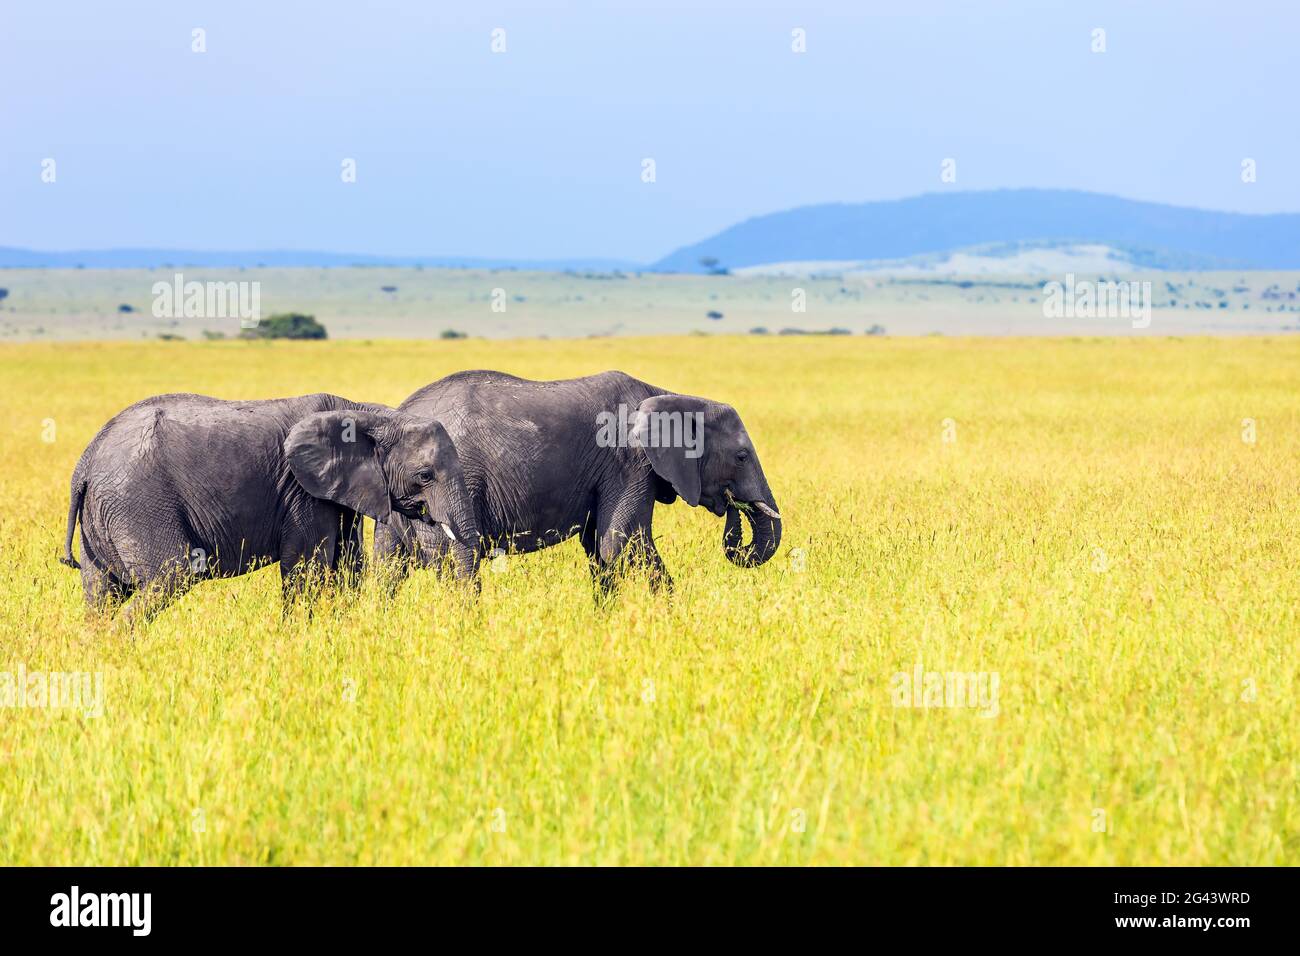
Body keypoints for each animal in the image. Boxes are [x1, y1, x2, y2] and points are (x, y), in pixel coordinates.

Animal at [61, 390, 478, 629]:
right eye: (425, 475)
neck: (371, 415)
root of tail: (85, 462)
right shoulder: (302, 490)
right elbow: (308, 566)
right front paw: (299, 640)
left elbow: (348, 565)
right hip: (136, 501)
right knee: (171, 575)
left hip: (105, 514)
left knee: (100, 593)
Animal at [377, 369, 780, 595]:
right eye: (741, 456)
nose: (734, 507)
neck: (668, 396)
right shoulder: (629, 463)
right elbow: (621, 545)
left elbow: (600, 549)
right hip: (441, 491)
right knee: (459, 562)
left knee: (387, 570)